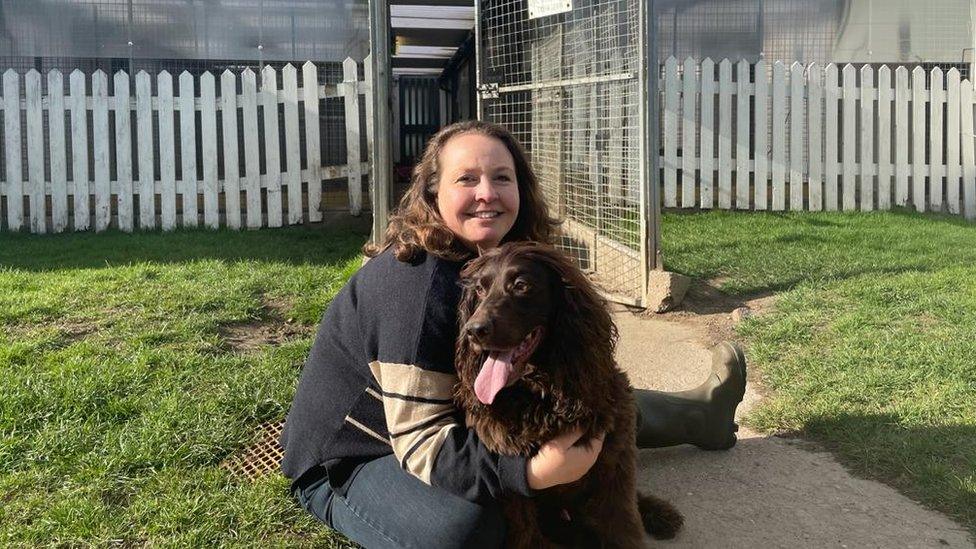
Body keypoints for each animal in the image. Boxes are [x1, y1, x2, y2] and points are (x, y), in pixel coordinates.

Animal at [456, 242, 680, 548]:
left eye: (521, 285)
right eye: (479, 289)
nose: (474, 331)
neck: (544, 396)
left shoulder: (615, 461)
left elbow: (622, 523)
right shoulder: (512, 479)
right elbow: (526, 534)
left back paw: (659, 513)